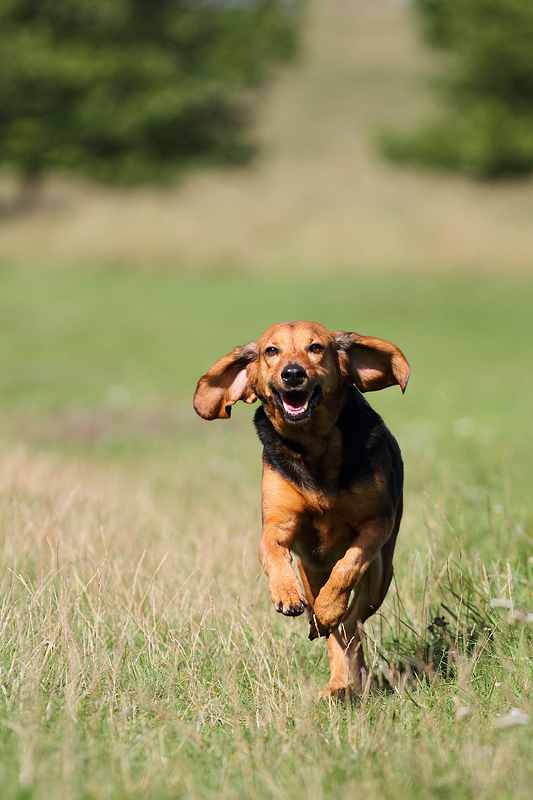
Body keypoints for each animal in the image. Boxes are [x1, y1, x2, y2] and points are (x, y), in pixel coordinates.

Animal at [193, 322, 410, 696]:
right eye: (271, 351)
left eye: (316, 348)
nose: (293, 373)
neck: (315, 444)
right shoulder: (278, 525)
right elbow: (272, 554)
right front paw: (286, 594)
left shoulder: (376, 525)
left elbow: (348, 566)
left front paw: (328, 607)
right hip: (312, 571)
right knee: (338, 634)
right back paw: (336, 683)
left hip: (381, 575)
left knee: (350, 624)